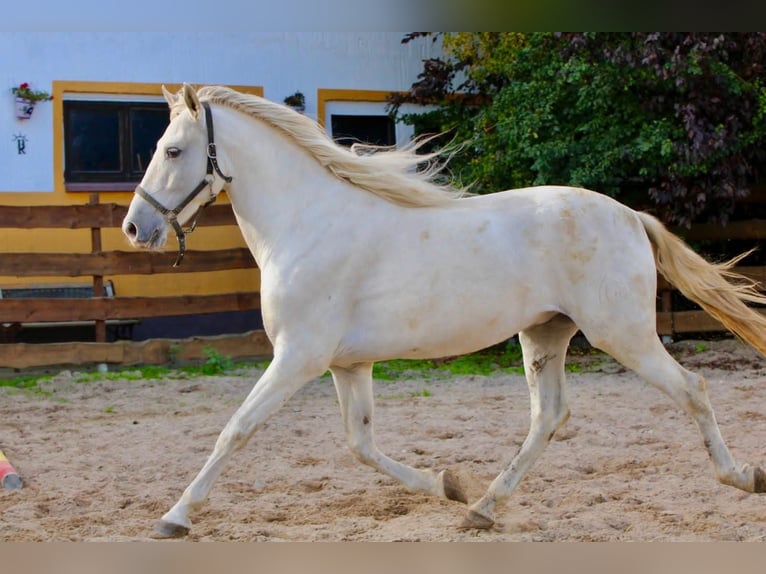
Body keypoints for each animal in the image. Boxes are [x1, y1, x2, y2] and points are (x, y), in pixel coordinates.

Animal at [123, 84, 766, 538]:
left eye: (172, 149)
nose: (135, 227)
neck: (307, 224)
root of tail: (631, 216)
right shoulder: (347, 365)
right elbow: (361, 445)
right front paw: (450, 484)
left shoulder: (296, 359)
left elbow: (236, 430)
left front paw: (174, 518)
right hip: (545, 335)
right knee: (549, 416)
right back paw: (480, 508)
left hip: (622, 333)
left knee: (691, 389)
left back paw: (741, 477)